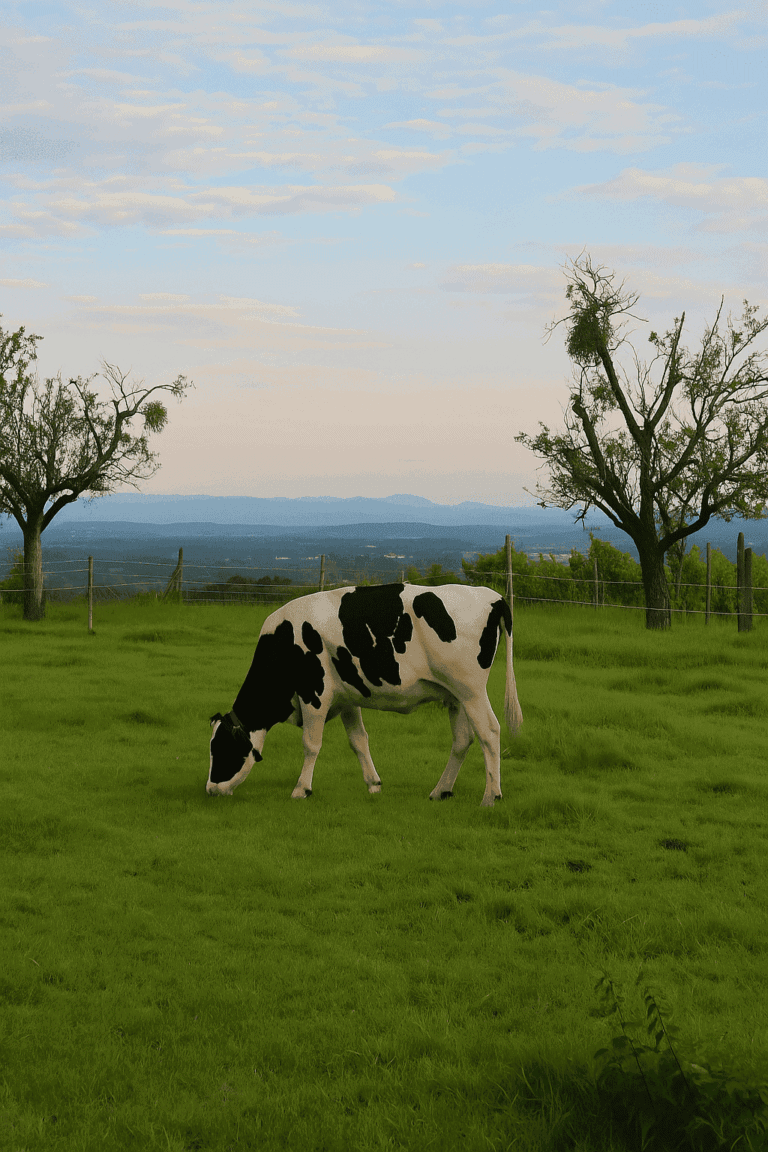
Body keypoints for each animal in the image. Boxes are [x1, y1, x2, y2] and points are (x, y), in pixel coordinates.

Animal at [207, 582, 522, 807]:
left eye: (221, 749)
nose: (210, 790)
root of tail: (492, 596)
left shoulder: (314, 693)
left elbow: (311, 744)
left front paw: (301, 789)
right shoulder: (347, 698)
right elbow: (358, 741)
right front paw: (373, 784)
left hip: (471, 691)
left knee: (489, 732)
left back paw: (490, 796)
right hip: (455, 696)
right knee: (462, 740)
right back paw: (440, 791)